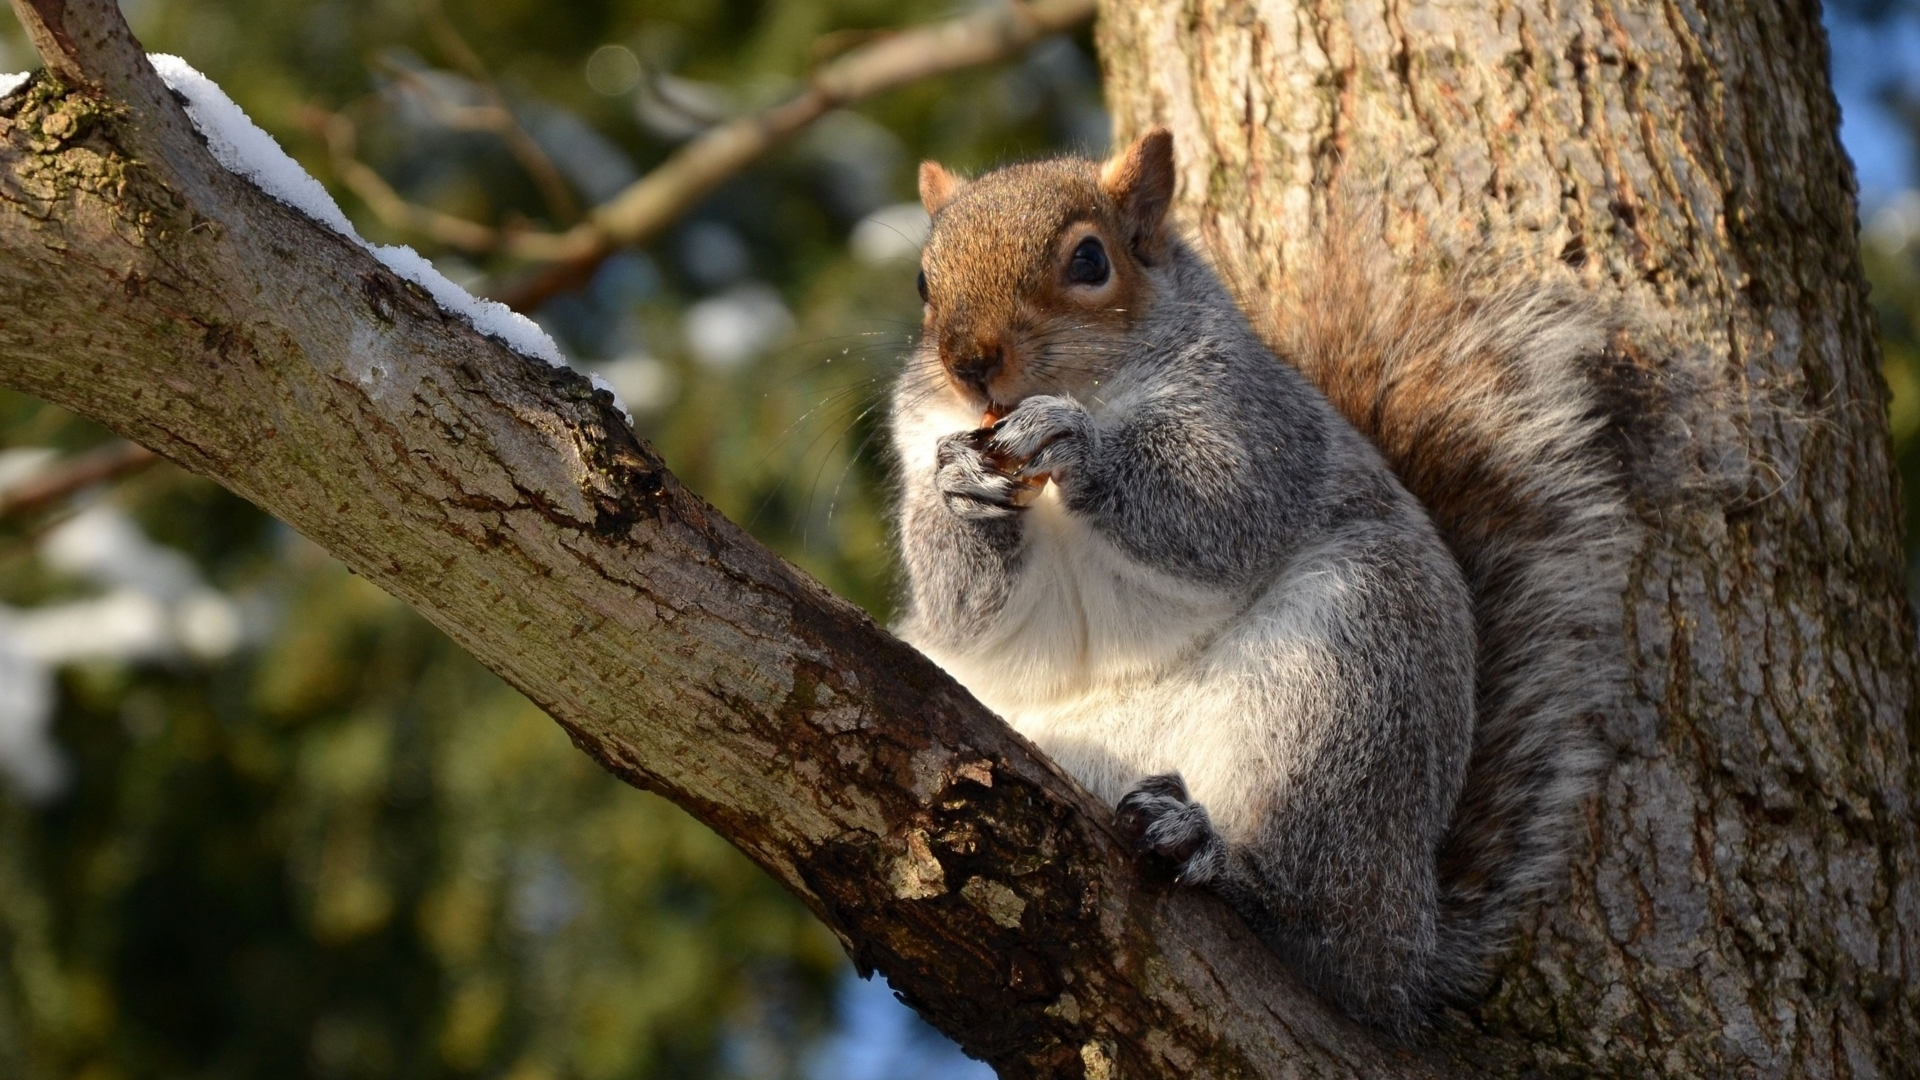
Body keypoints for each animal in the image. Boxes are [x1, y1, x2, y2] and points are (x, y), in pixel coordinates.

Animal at [887, 125, 1635, 1022]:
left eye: (1090, 260)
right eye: (923, 283)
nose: (968, 362)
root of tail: (1405, 940)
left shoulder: (1254, 424)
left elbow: (1217, 508)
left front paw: (1077, 444)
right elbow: (963, 607)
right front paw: (958, 487)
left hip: (1348, 684)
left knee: (1310, 909)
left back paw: (1216, 857)